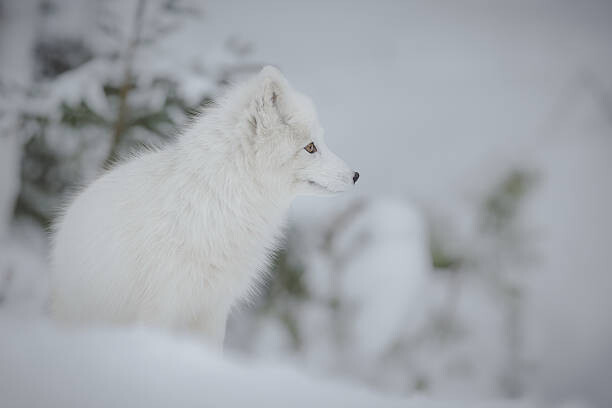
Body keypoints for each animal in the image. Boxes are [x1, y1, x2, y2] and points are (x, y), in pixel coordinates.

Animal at [51, 66, 358, 348]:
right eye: (310, 147)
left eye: (319, 143)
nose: (356, 175)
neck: (219, 200)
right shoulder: (161, 307)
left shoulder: (213, 309)